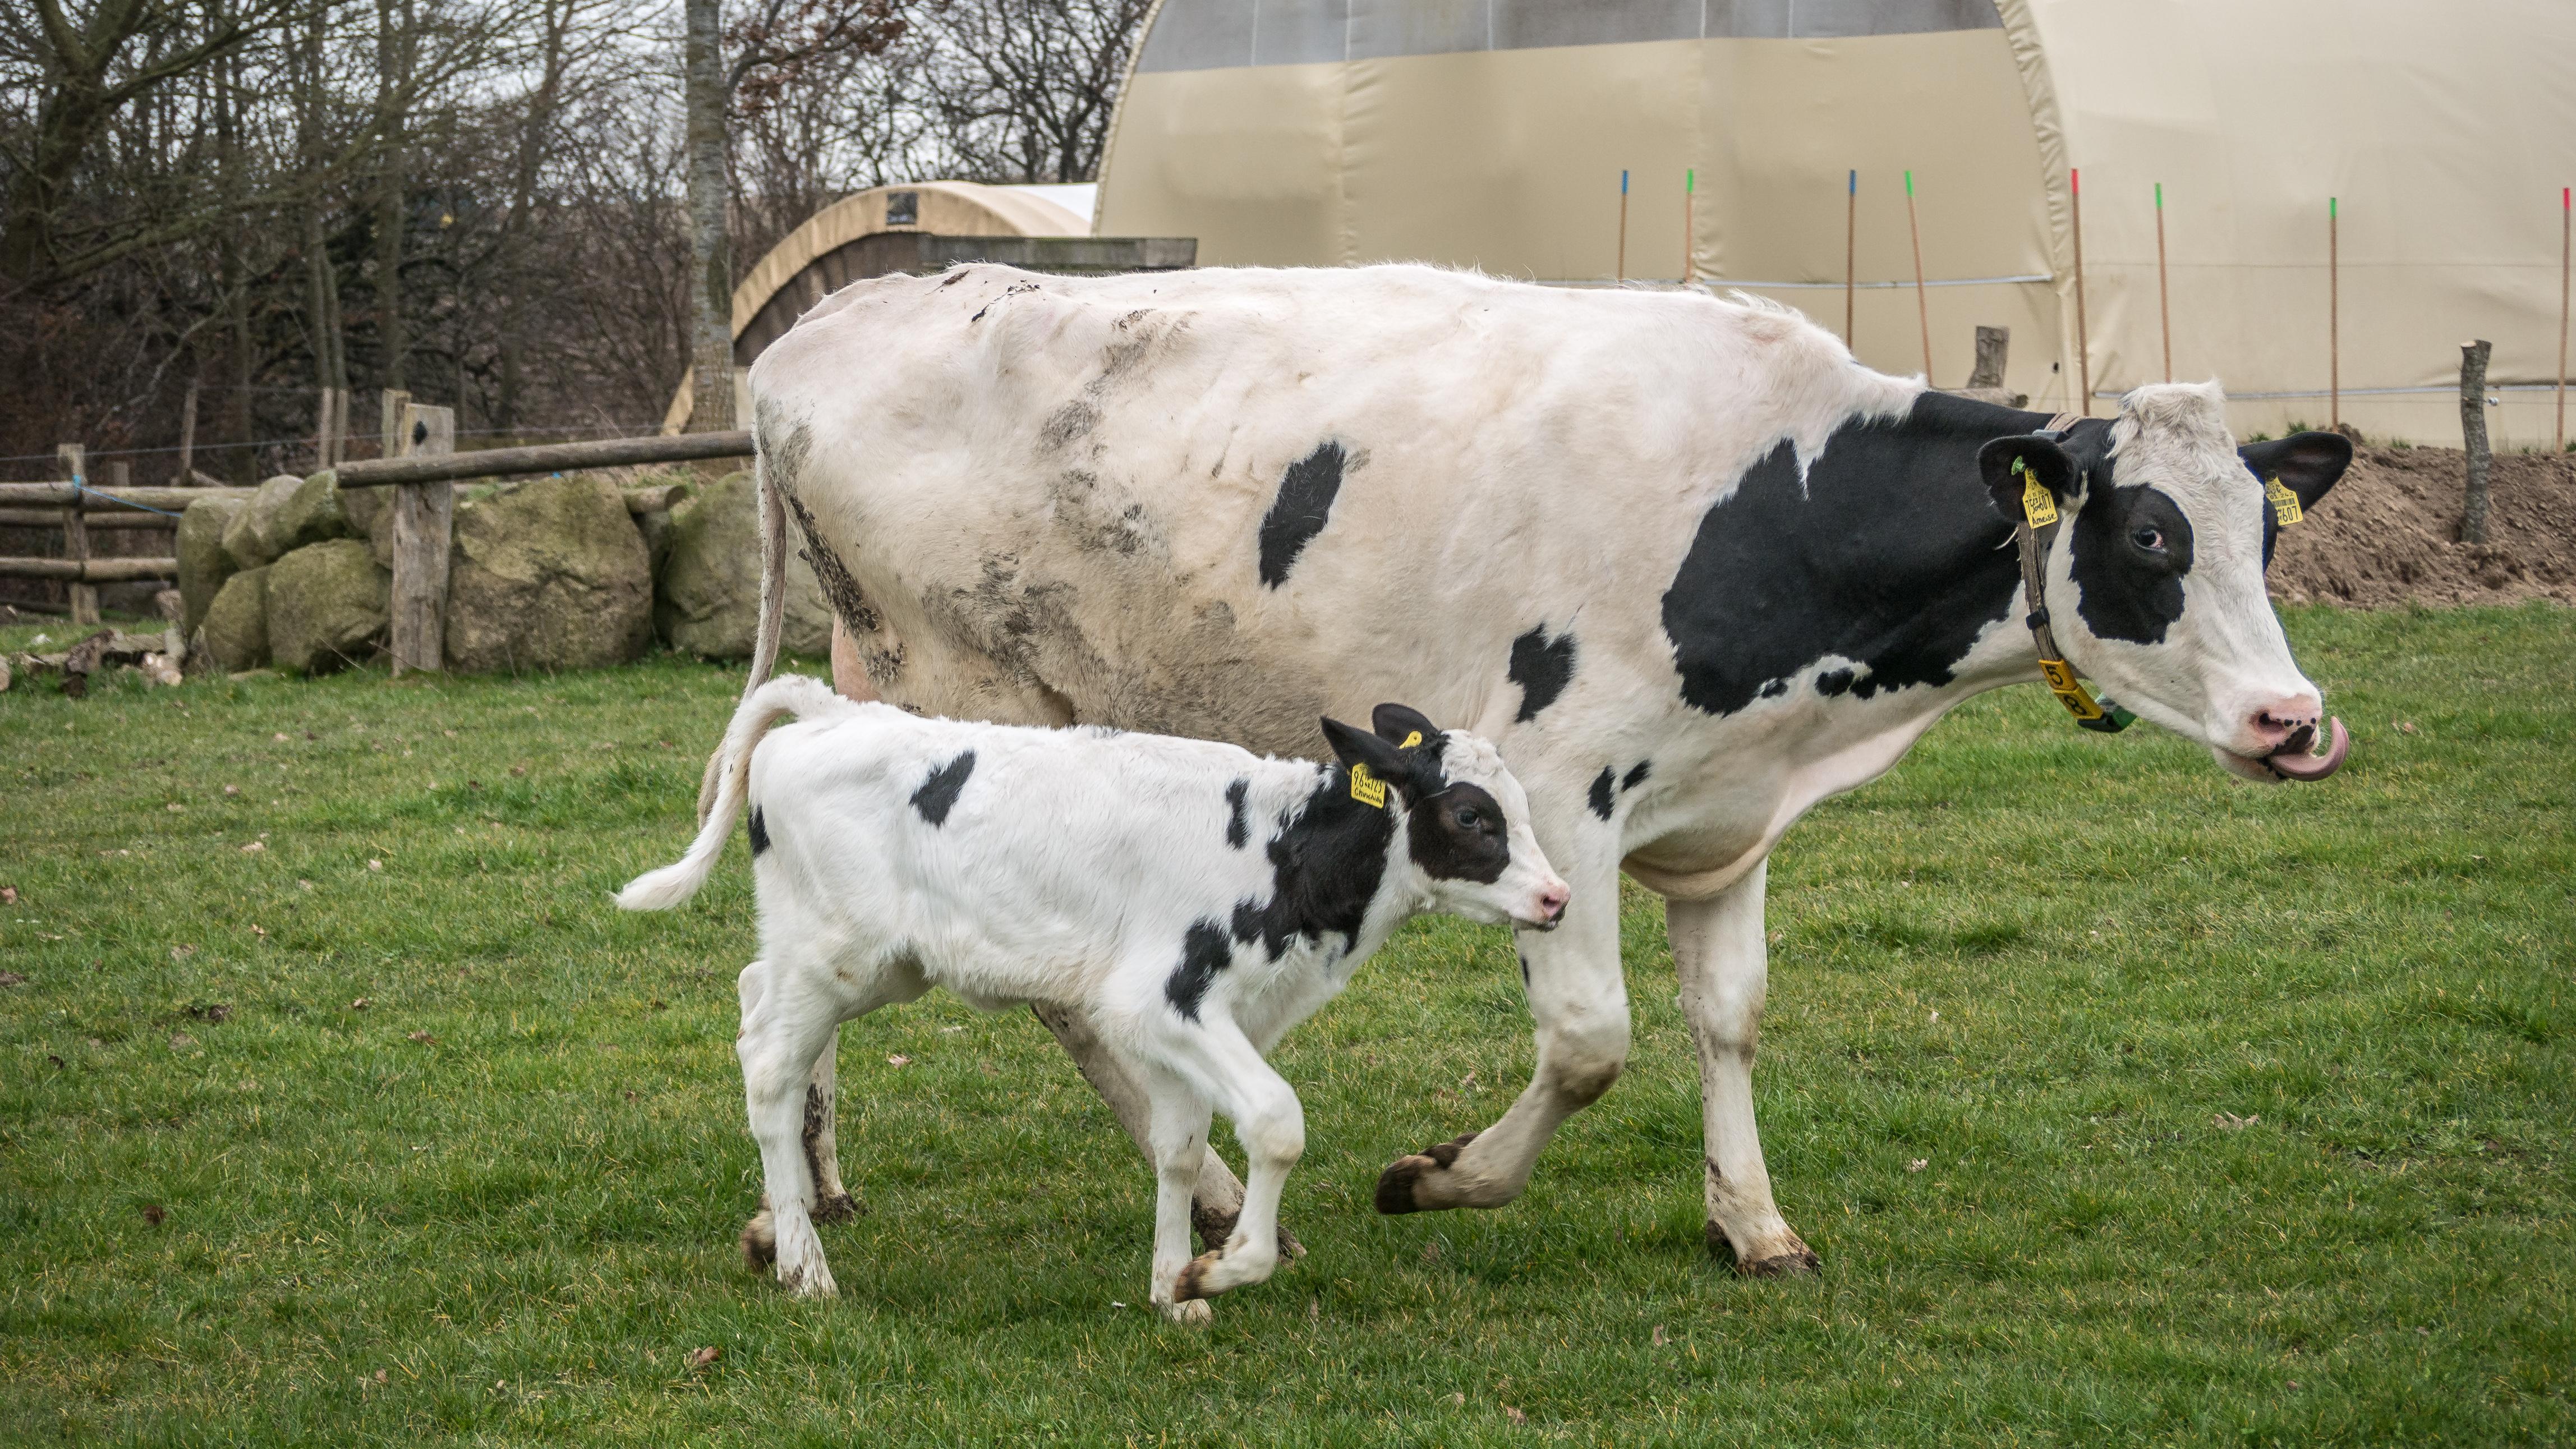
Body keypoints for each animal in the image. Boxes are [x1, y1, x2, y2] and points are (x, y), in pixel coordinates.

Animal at [618, 670, 1566, 1315]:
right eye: (1473, 816)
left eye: (1521, 804)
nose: (1556, 897)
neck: (1283, 853)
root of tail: (837, 710)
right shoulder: (1161, 999)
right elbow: (1275, 1122)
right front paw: (1229, 1264)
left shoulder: (1192, 1028)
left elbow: (1178, 1146)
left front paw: (1174, 1286)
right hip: (833, 955)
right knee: (769, 1064)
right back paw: (805, 1265)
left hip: (865, 962)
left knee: (754, 998)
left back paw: (777, 1232)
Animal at [711, 261, 2359, 1273]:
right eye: (2149, 536)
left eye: (2266, 536)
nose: (2295, 721)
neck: (1768, 507)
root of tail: (823, 327)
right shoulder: (1560, 793)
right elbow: (1589, 1042)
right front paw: (1441, 1175)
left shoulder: (1730, 820)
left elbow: (1729, 1019)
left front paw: (1752, 1221)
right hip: (970, 707)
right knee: (1053, 997)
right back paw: (1212, 1188)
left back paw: (815, 1180)